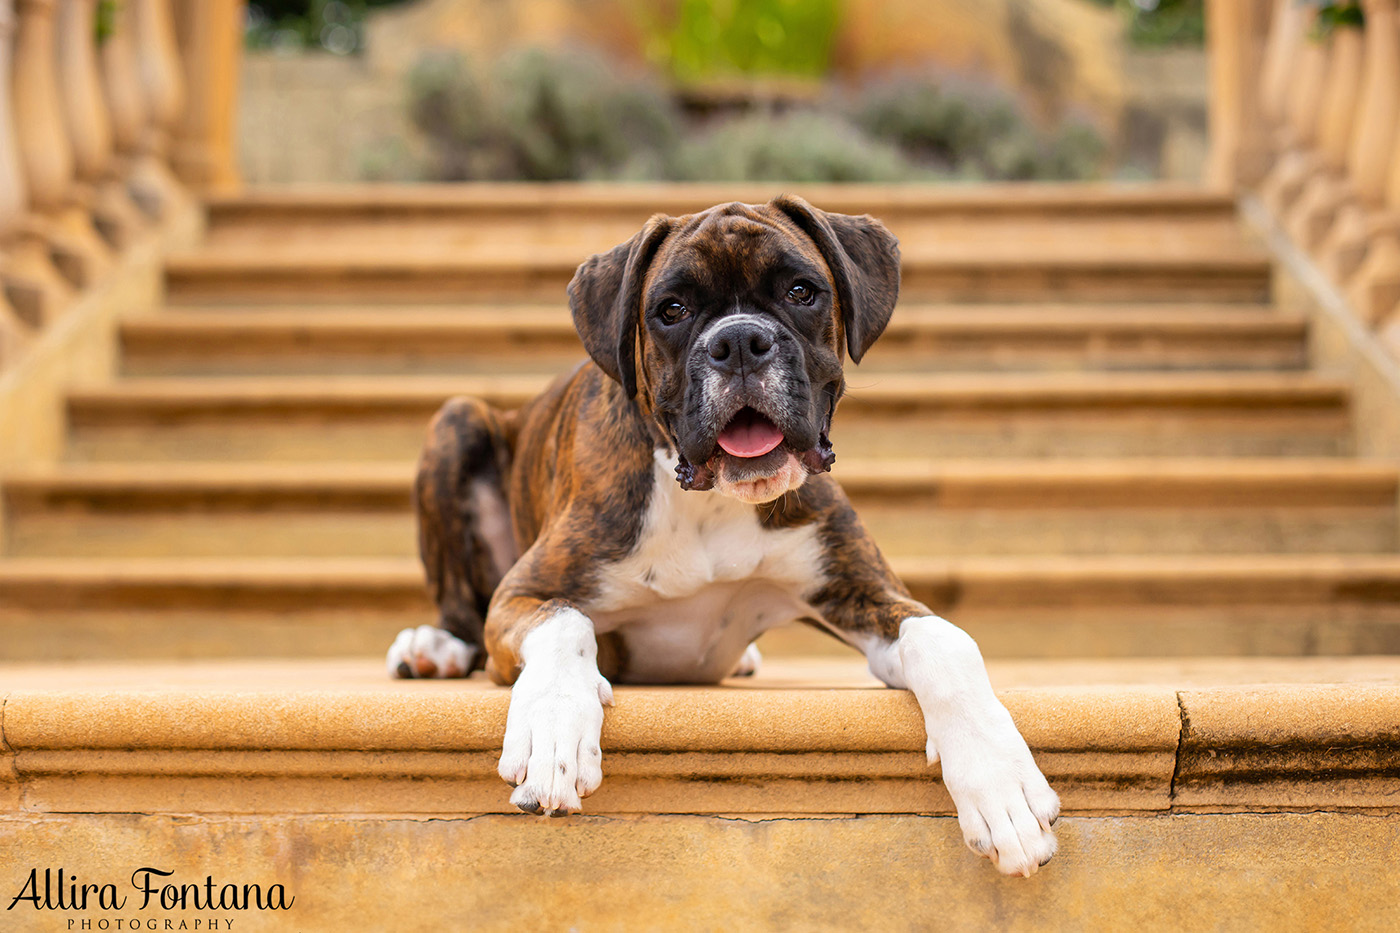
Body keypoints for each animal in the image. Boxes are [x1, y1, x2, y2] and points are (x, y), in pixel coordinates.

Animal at [386, 194, 1058, 874]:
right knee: (460, 607)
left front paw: (1000, 780)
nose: (738, 341)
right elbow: (564, 623)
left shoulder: (865, 592)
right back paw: (433, 645)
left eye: (801, 291)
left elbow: (944, 640)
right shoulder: (522, 593)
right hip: (457, 422)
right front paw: (553, 734)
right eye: (672, 311)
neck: (713, 503)